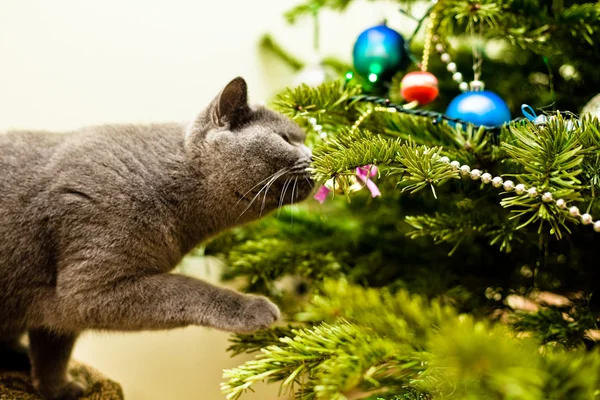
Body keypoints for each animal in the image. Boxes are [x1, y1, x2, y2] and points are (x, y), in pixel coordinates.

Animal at [1, 76, 314, 398]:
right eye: (286, 139)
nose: (315, 155)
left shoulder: (56, 308)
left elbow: (53, 351)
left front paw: (59, 389)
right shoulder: (84, 291)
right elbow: (186, 288)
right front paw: (253, 308)